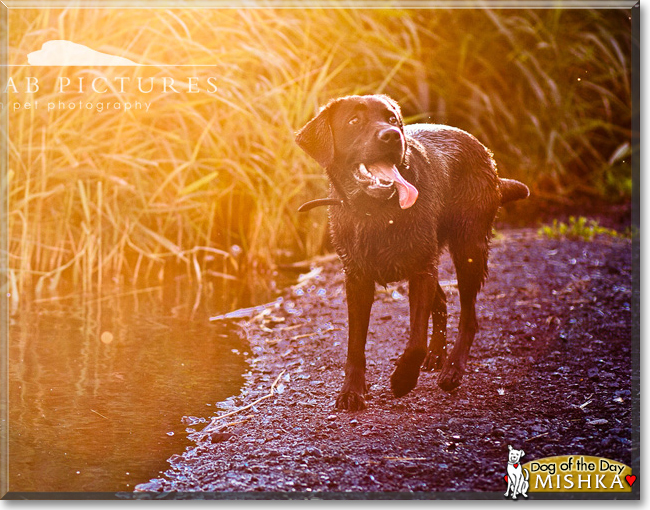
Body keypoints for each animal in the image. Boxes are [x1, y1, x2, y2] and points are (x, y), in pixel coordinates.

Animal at [294, 93, 528, 410]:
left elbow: (415, 339)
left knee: (468, 317)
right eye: (354, 121)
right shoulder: (357, 278)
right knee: (442, 300)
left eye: (392, 119)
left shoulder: (419, 271)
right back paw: (437, 355)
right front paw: (352, 391)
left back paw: (452, 369)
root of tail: (486, 154)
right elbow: (355, 343)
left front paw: (403, 379)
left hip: (468, 249)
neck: (376, 212)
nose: (392, 135)